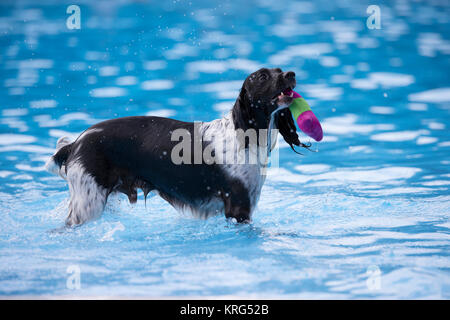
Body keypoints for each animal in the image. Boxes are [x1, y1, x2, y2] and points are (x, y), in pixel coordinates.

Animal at [44, 68, 308, 226]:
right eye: (263, 77)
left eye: (280, 71)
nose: (291, 73)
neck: (246, 135)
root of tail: (75, 143)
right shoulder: (238, 207)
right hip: (88, 205)